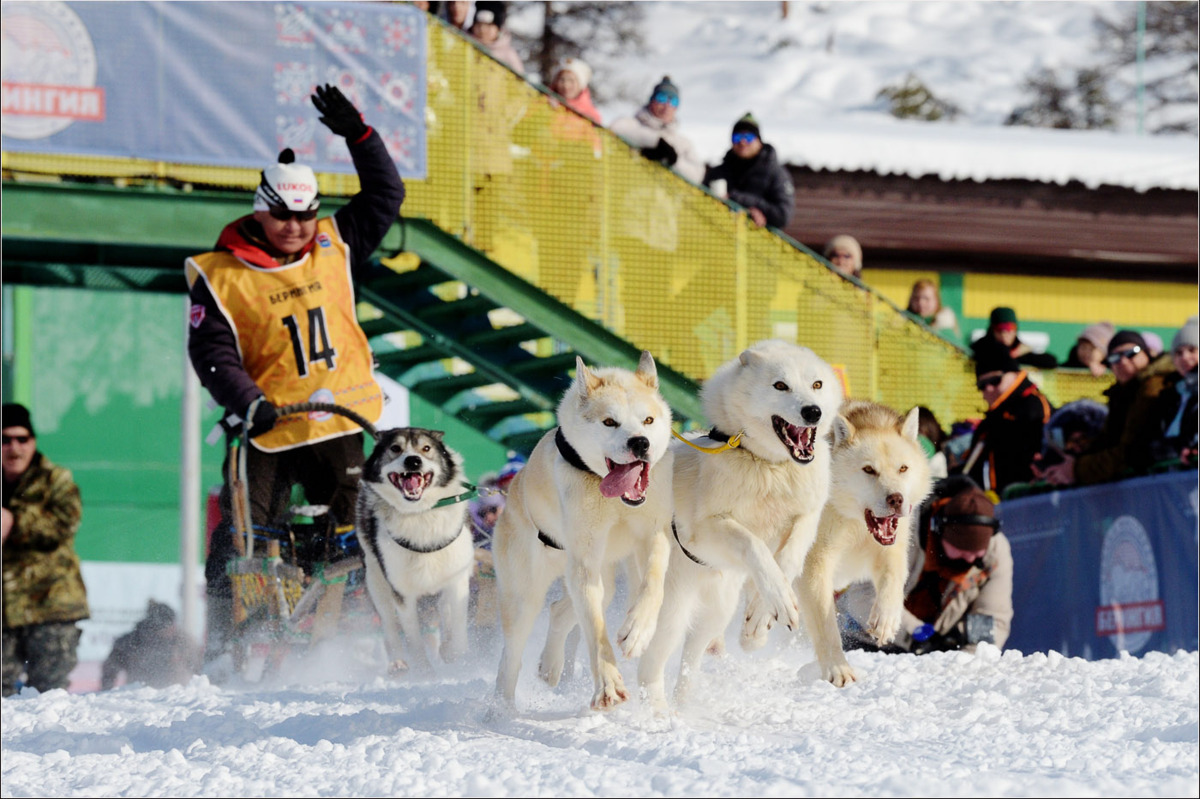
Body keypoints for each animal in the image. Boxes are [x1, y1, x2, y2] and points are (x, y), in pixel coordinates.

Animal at [355, 427, 472, 676]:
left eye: (426, 448)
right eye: (395, 448)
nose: (413, 460)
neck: (421, 513)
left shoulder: (457, 579)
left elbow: (456, 623)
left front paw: (459, 658)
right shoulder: (402, 592)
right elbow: (413, 636)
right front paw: (423, 671)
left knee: (443, 608)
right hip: (376, 581)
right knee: (389, 625)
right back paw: (398, 663)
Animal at [489, 350, 676, 710]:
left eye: (648, 420)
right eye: (609, 422)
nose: (640, 443)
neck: (614, 499)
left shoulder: (653, 536)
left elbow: (653, 586)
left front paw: (638, 629)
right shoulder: (584, 562)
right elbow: (594, 629)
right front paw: (608, 684)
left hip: (605, 576)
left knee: (560, 610)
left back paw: (550, 665)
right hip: (524, 596)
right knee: (511, 656)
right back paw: (501, 710)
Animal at [638, 338, 844, 705]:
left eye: (817, 385)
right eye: (780, 385)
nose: (813, 412)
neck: (769, 467)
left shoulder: (807, 516)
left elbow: (787, 559)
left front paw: (760, 623)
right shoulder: (706, 530)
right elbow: (755, 546)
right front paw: (776, 602)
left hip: (716, 611)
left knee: (691, 659)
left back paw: (684, 706)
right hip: (671, 616)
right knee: (648, 668)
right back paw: (658, 713)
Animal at [796, 398, 936, 686]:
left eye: (903, 468)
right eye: (869, 470)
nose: (896, 499)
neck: (853, 523)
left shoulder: (890, 551)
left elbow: (893, 581)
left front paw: (885, 621)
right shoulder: (814, 567)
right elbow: (827, 627)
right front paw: (838, 670)